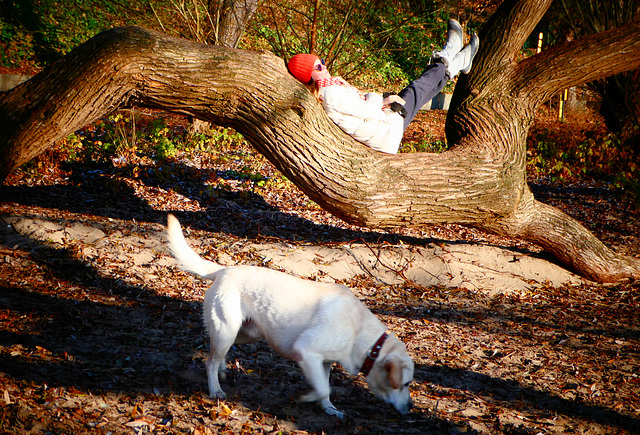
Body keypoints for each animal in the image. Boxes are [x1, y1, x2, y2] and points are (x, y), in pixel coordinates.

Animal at [166, 215, 416, 418]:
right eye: (405, 384)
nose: (411, 407)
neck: (365, 338)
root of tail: (223, 270)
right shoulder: (305, 350)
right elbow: (323, 388)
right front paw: (309, 397)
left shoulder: (324, 361)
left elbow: (326, 388)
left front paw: (329, 409)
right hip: (227, 331)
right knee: (209, 361)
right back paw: (215, 389)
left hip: (244, 334)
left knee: (215, 353)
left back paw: (223, 370)